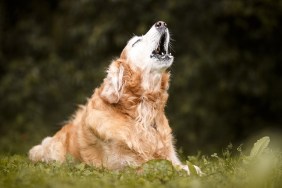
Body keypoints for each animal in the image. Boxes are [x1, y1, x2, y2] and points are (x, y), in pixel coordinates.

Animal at [28, 20, 202, 175]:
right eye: (136, 42)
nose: (162, 23)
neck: (142, 111)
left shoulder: (169, 155)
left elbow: (183, 165)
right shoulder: (125, 165)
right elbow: (161, 167)